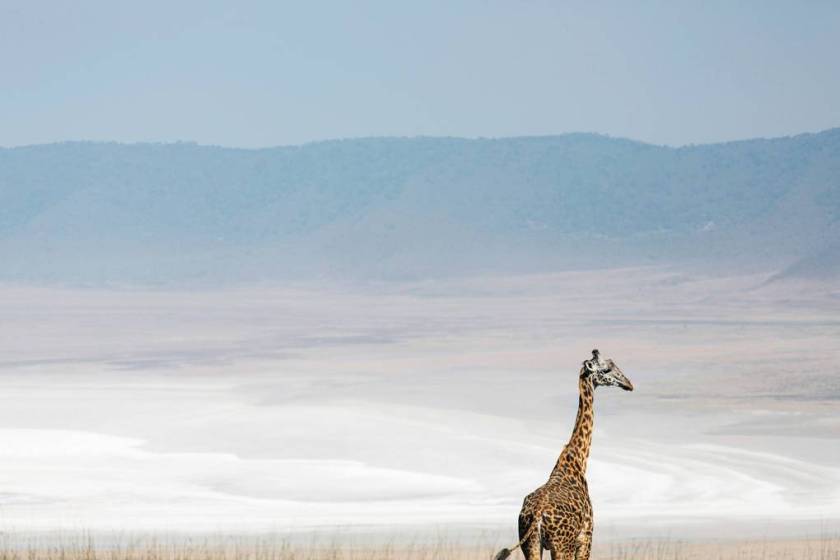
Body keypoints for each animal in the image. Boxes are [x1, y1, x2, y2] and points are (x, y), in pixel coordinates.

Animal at [495, 349, 633, 560]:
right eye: (606, 369)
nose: (629, 384)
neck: (577, 462)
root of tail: (537, 514)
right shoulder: (586, 538)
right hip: (562, 545)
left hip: (531, 544)